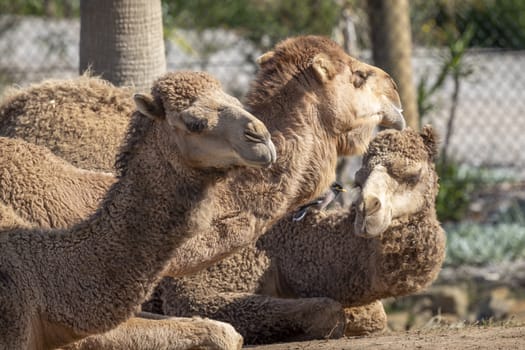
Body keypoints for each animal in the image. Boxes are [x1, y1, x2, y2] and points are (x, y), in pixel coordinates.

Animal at [157, 126, 446, 344]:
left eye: (413, 174)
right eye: (360, 178)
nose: (367, 209)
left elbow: (374, 315)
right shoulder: (196, 286)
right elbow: (328, 310)